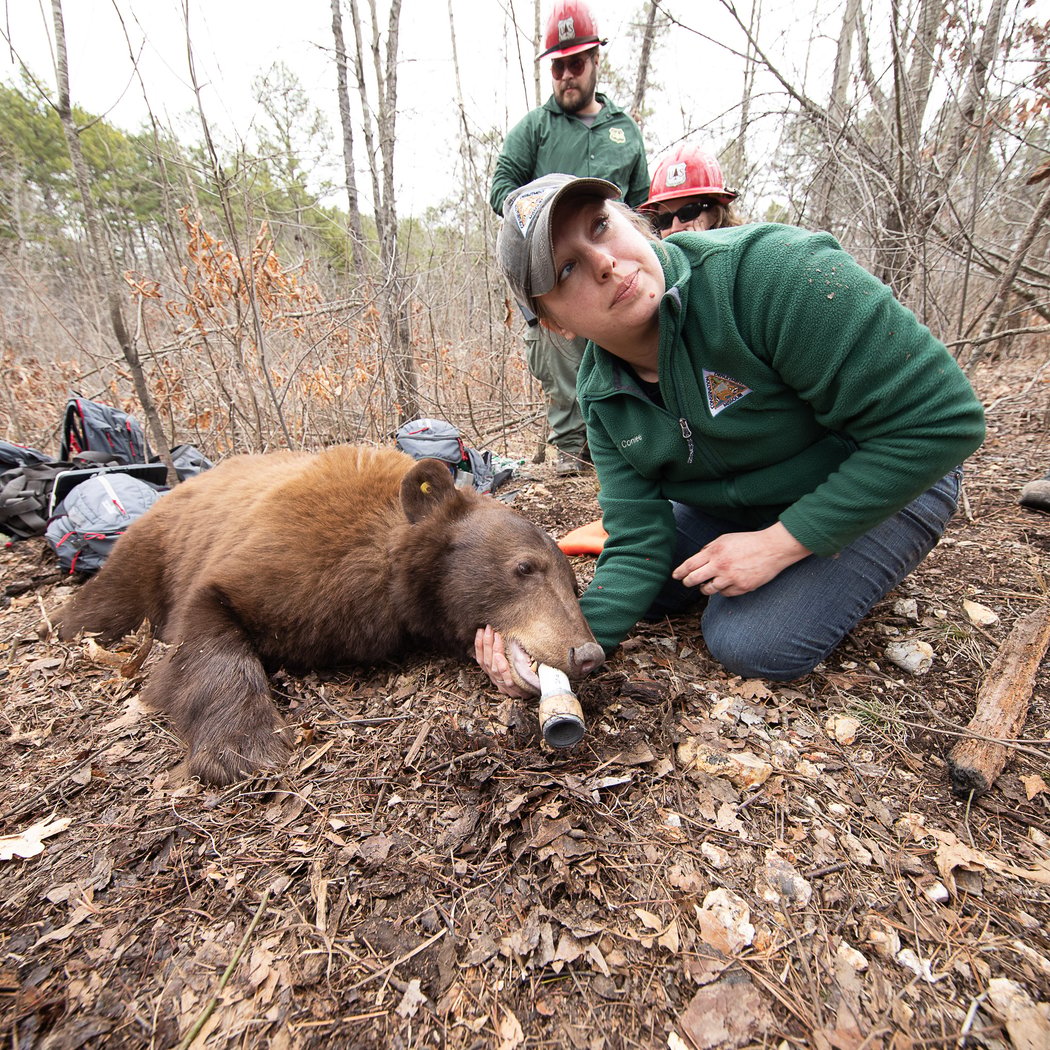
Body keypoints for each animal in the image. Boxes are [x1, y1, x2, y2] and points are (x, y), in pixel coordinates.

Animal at [55, 445, 605, 785]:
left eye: (572, 582)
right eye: (524, 568)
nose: (588, 653)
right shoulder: (291, 560)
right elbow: (209, 615)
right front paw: (243, 746)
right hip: (151, 550)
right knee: (103, 605)